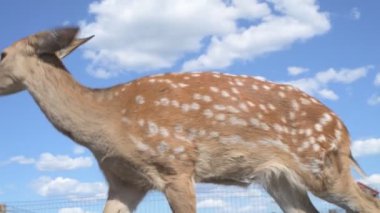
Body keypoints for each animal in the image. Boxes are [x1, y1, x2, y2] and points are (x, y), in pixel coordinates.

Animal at [0, 27, 378, 212]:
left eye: (2, 52)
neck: (107, 121)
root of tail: (343, 128)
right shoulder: (125, 182)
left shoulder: (176, 164)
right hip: (280, 179)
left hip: (321, 166)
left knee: (367, 202)